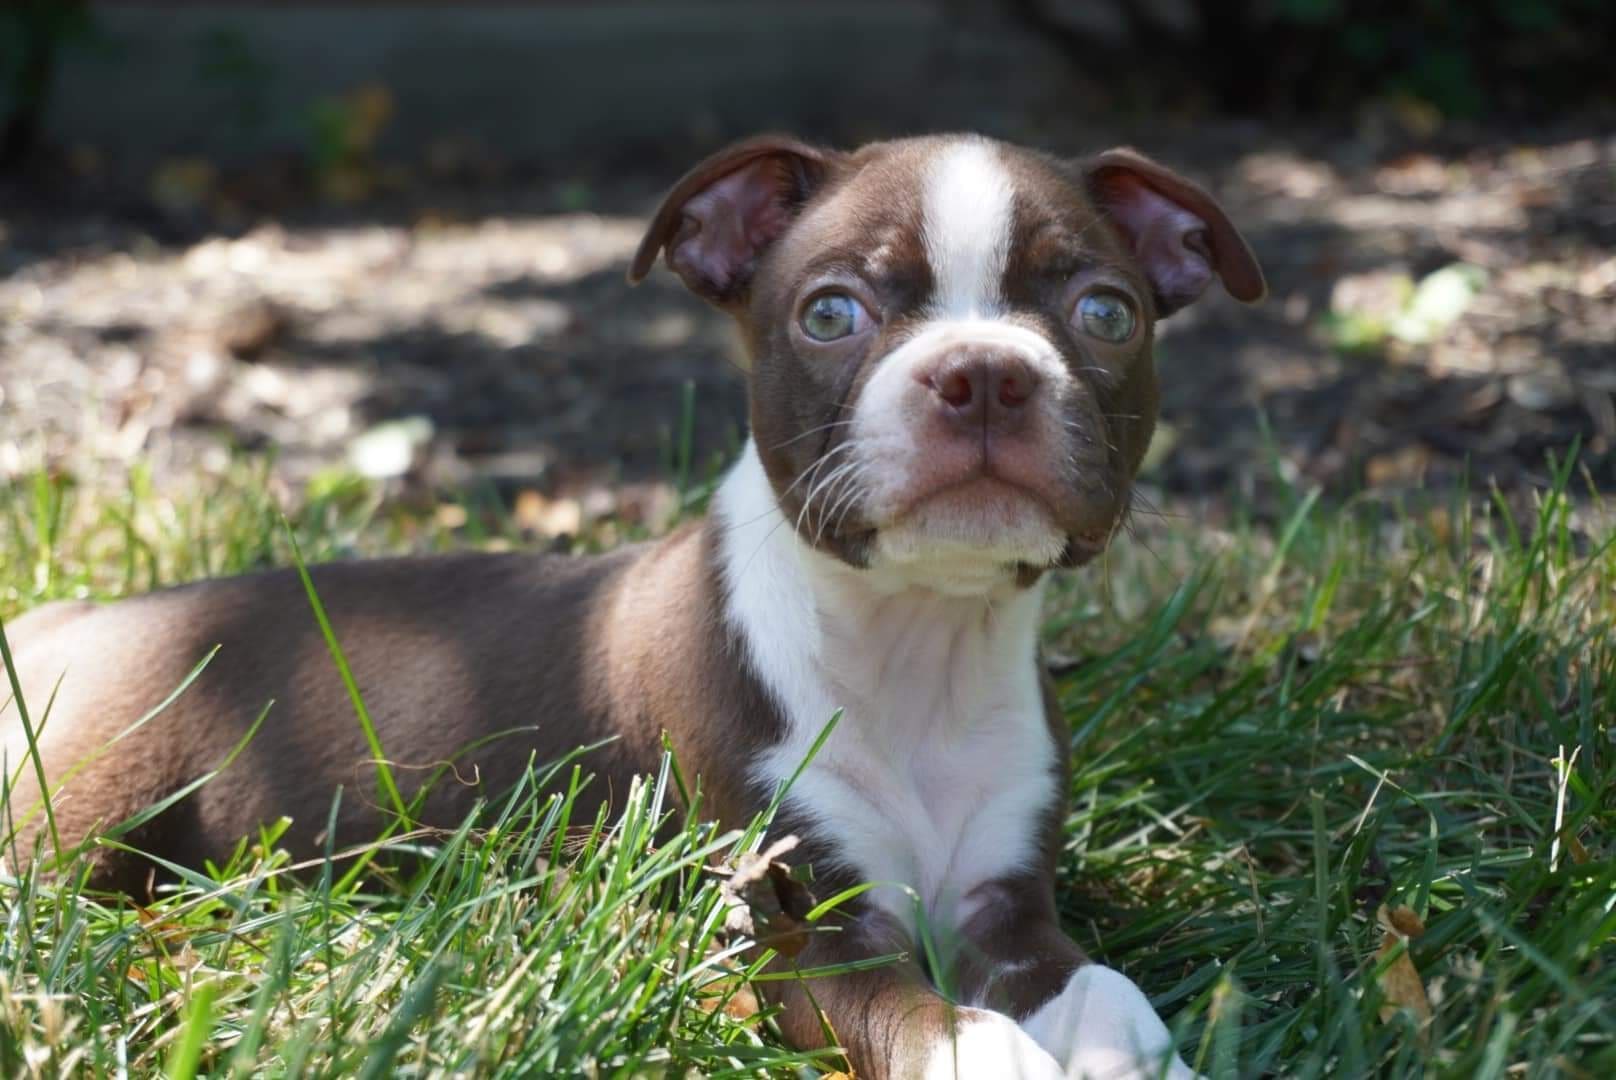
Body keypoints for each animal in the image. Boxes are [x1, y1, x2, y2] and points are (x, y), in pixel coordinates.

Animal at [3, 135, 1260, 1080]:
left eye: (1105, 315)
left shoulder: (1006, 912)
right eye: (829, 315)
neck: (915, 644)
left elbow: (1104, 991)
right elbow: (946, 1031)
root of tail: (59, 622)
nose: (984, 371)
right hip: (77, 818)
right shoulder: (797, 931)